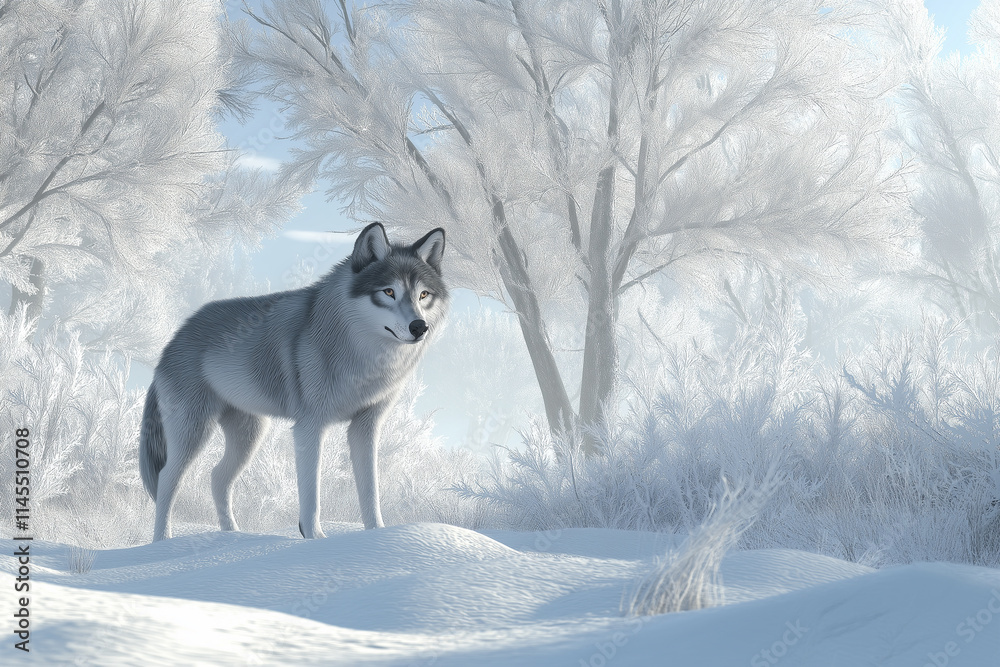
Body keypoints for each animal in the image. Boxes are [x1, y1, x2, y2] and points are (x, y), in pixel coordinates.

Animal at [139, 223, 448, 541]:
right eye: (388, 291)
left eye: (423, 295)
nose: (419, 327)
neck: (362, 357)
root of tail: (174, 338)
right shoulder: (309, 427)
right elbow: (311, 494)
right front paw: (315, 539)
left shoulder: (365, 427)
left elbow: (370, 490)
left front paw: (376, 535)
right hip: (195, 432)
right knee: (167, 479)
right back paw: (162, 542)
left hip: (249, 436)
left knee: (216, 477)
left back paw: (232, 535)